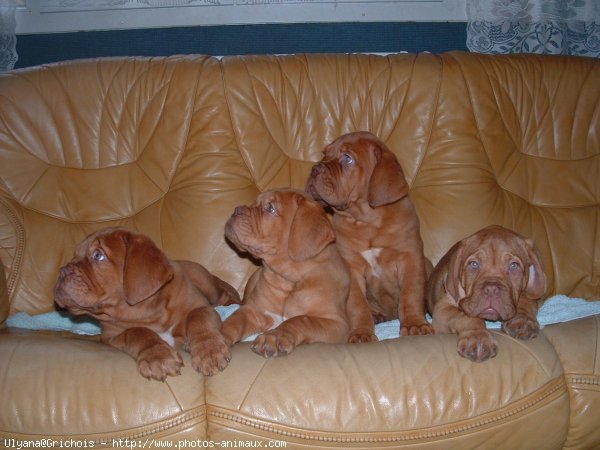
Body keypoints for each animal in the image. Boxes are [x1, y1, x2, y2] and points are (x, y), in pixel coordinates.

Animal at [54, 229, 240, 380]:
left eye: (98, 255)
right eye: (74, 255)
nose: (62, 271)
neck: (145, 311)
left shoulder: (200, 305)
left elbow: (198, 317)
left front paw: (209, 350)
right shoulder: (112, 336)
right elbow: (136, 331)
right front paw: (158, 356)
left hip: (204, 281)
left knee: (224, 295)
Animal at [220, 188, 352, 356]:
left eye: (270, 208)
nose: (236, 210)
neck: (287, 279)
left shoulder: (337, 323)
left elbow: (302, 320)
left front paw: (274, 336)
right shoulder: (252, 310)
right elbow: (234, 321)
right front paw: (211, 339)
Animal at [310, 131, 432, 342]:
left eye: (347, 159)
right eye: (324, 154)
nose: (314, 168)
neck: (367, 222)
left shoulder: (410, 258)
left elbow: (411, 294)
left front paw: (415, 324)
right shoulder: (352, 267)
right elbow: (358, 305)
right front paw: (361, 333)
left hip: (427, 263)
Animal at [426, 225, 548, 362]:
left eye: (513, 266)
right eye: (474, 264)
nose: (491, 290)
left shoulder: (535, 294)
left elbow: (527, 299)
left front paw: (522, 319)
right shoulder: (442, 310)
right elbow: (467, 317)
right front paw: (477, 336)